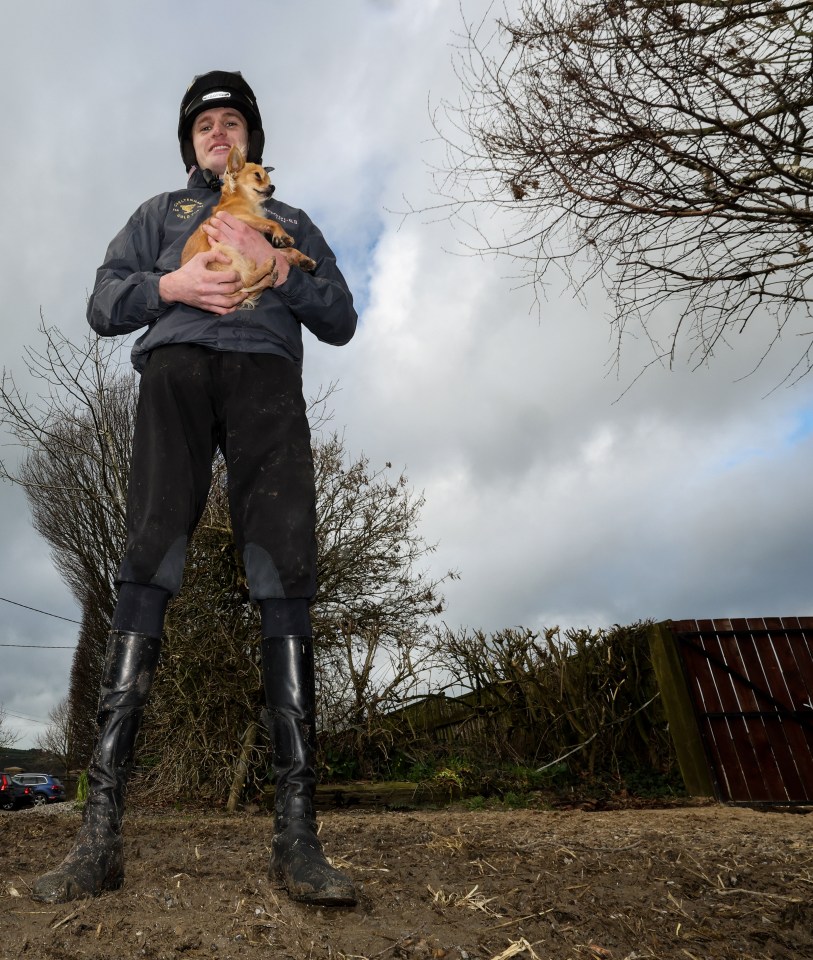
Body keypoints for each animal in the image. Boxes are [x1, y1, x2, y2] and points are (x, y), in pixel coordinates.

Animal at [182, 144, 316, 308]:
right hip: (224, 251)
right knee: (246, 280)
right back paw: (267, 266)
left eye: (269, 179)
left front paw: (304, 259)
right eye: (257, 176)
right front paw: (282, 235)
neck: (248, 200)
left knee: (248, 286)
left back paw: (269, 279)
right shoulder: (243, 217)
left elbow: (288, 250)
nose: (273, 186)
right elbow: (273, 222)